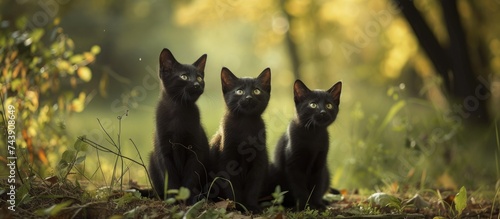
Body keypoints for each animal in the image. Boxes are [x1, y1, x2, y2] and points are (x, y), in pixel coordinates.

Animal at [149, 48, 210, 204]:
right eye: (184, 76)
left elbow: (190, 177)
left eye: (199, 78)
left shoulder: (195, 150)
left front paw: (188, 200)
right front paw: (173, 200)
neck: (179, 110)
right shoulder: (164, 151)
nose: (197, 85)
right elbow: (170, 179)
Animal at [209, 66, 272, 212]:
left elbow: (254, 186)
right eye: (239, 91)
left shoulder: (259, 161)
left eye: (256, 90)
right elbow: (232, 187)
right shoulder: (227, 160)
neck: (245, 124)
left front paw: (252, 206)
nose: (248, 97)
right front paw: (237, 206)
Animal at [272, 79, 342, 210]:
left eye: (329, 105)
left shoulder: (319, 164)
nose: (323, 112)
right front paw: (305, 206)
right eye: (313, 105)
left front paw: (318, 205)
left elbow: (317, 187)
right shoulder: (293, 165)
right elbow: (299, 188)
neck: (313, 134)